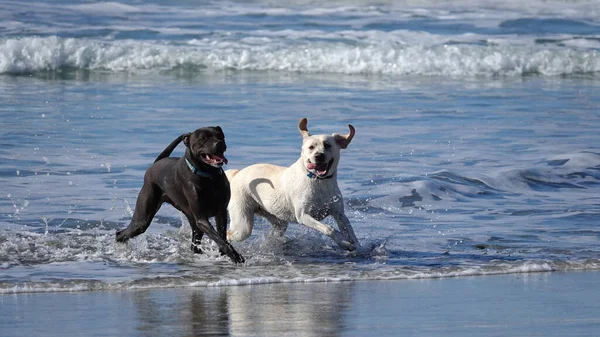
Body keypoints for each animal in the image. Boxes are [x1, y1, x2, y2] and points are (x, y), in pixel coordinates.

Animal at [224, 117, 356, 249]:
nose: (319, 156)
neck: (318, 181)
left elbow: (350, 232)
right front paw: (344, 242)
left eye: (327, 145)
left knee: (278, 229)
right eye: (311, 147)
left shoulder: (339, 213)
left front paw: (355, 246)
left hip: (276, 218)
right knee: (229, 233)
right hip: (242, 225)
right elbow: (329, 229)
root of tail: (236, 174)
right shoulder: (303, 215)